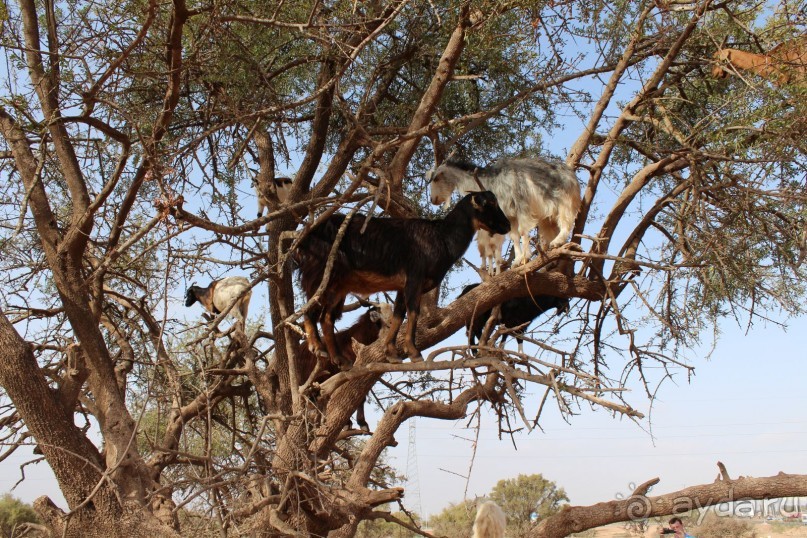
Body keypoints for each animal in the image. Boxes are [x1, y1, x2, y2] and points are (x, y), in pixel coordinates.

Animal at [296, 191, 512, 362]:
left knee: (327, 318)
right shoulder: (414, 277)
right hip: (322, 274)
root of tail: (307, 236)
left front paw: (391, 353)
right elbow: (413, 312)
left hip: (339, 286)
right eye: (490, 204)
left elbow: (399, 315)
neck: (441, 237)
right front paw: (414, 353)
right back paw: (318, 348)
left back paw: (339, 359)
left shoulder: (402, 286)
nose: (507, 225)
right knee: (310, 309)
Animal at [430, 157, 580, 266]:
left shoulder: (521, 208)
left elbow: (523, 232)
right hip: (547, 218)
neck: (492, 182)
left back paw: (558, 241)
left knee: (566, 221)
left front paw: (525, 258)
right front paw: (518, 260)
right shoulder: (510, 216)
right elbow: (514, 236)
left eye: (436, 178)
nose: (433, 200)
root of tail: (569, 173)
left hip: (564, 201)